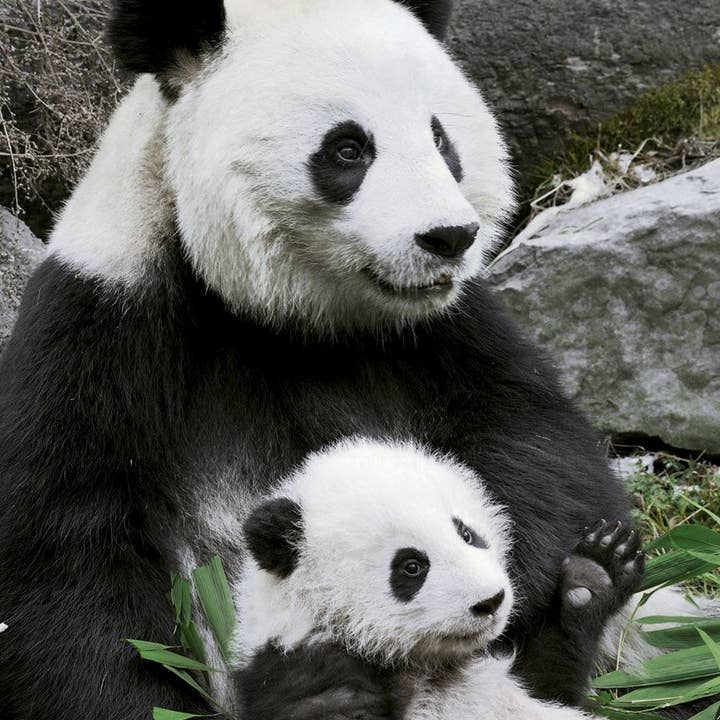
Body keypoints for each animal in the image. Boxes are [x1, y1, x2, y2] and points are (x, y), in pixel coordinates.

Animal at [232, 438, 644, 720]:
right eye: (412, 566)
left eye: (467, 534)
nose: (491, 601)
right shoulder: (300, 666)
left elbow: (549, 686)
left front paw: (595, 574)